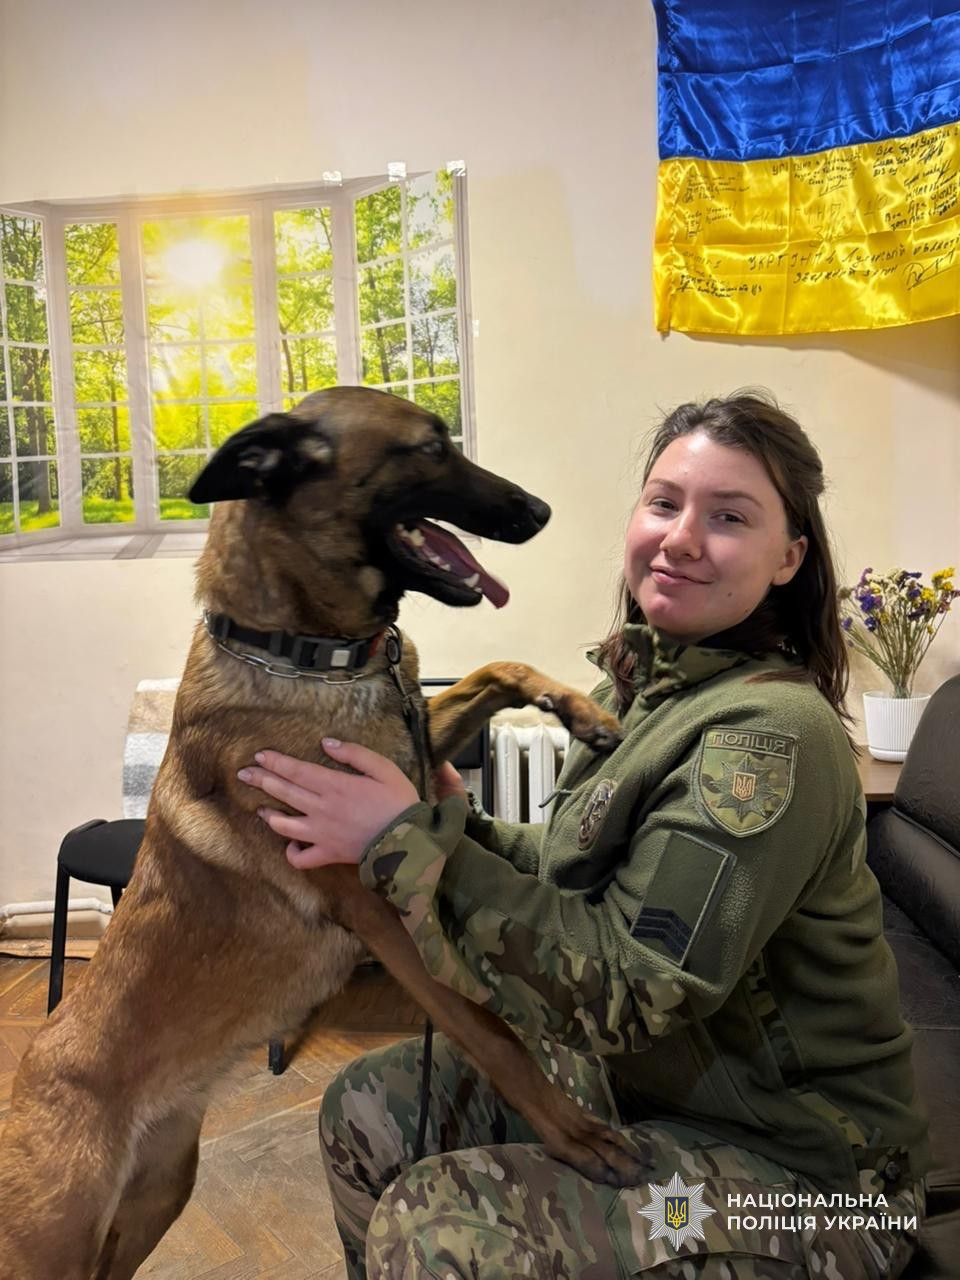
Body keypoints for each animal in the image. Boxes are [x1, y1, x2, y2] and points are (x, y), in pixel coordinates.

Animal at [0, 386, 642, 1278]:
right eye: (430, 448)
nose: (540, 510)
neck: (309, 654)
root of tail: (31, 1066)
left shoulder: (412, 754)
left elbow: (493, 668)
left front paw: (582, 709)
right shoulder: (374, 904)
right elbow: (485, 1027)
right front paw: (575, 1133)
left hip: (158, 1198)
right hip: (53, 1243)